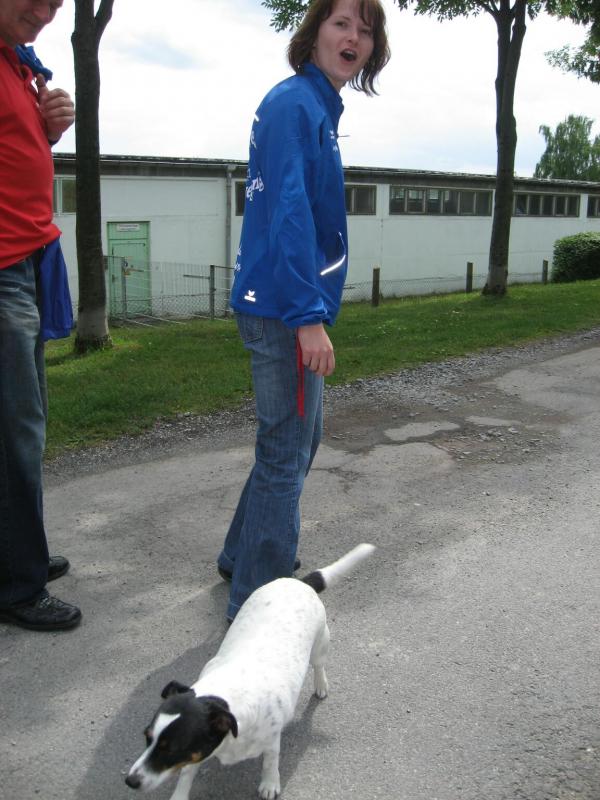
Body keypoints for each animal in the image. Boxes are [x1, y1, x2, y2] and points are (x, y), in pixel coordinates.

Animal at [125, 543, 375, 800]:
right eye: (147, 737)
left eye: (173, 748)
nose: (130, 781)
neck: (226, 694)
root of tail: (298, 582)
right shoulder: (199, 752)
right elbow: (186, 774)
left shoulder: (272, 739)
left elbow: (270, 761)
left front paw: (270, 784)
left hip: (320, 644)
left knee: (318, 665)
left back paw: (321, 685)